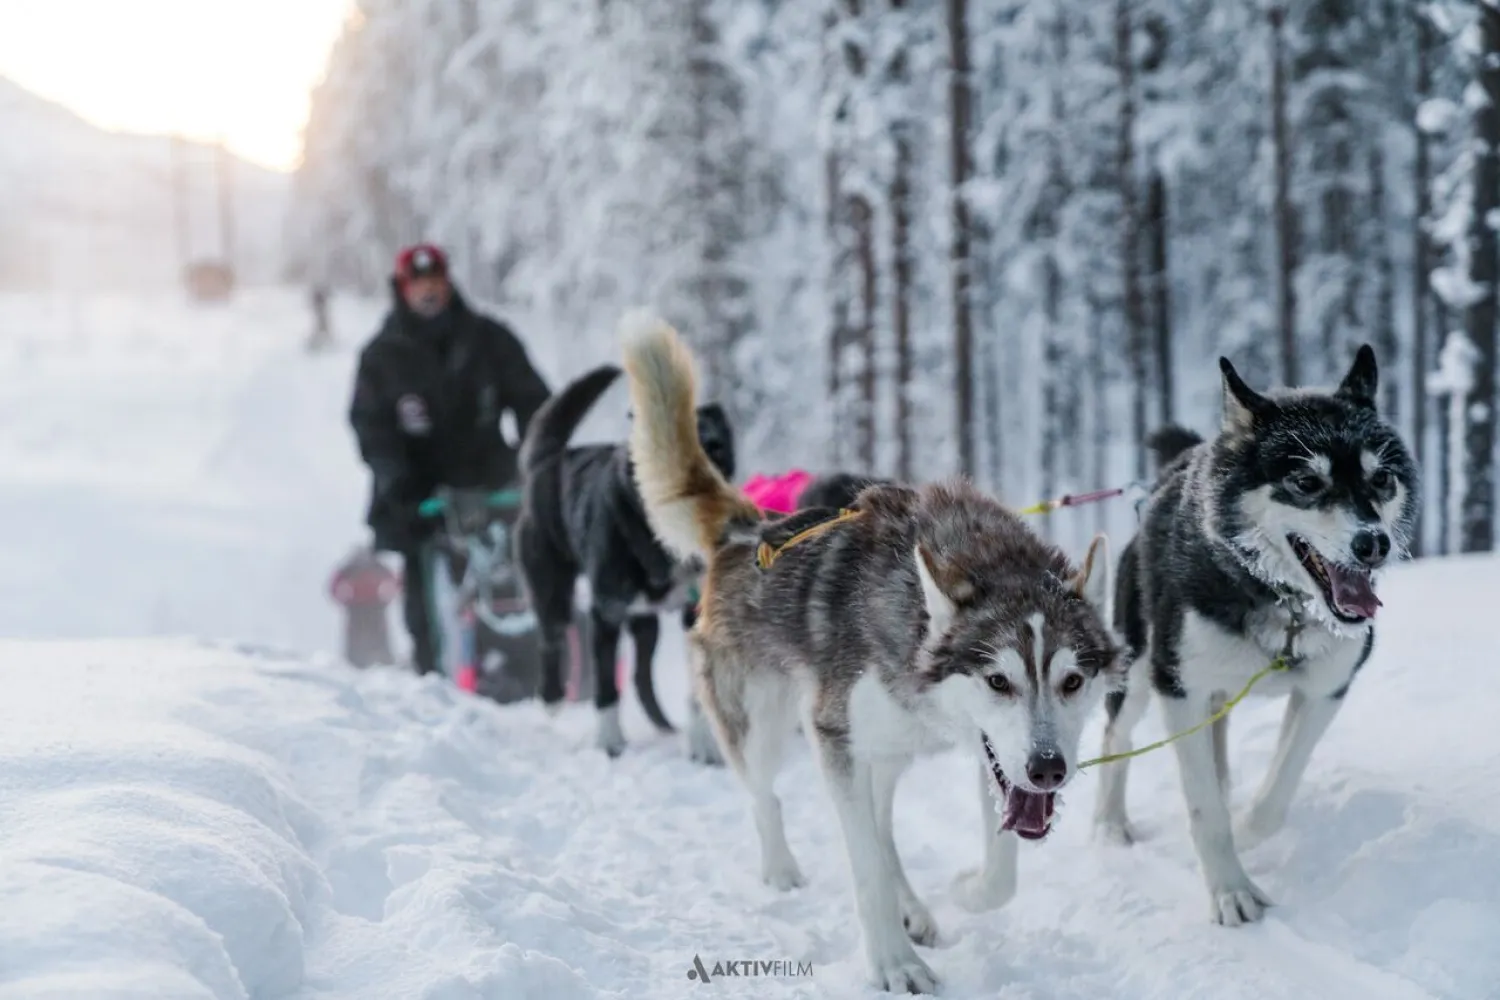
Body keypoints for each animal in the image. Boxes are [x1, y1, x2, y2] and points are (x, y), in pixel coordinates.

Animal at [513, 364, 735, 755]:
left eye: (715, 448)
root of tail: (550, 460)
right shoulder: (606, 612)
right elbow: (605, 685)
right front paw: (609, 742)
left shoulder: (693, 613)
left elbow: (695, 690)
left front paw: (703, 745)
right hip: (552, 593)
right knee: (551, 641)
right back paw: (552, 698)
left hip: (645, 624)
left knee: (640, 674)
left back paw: (664, 726)